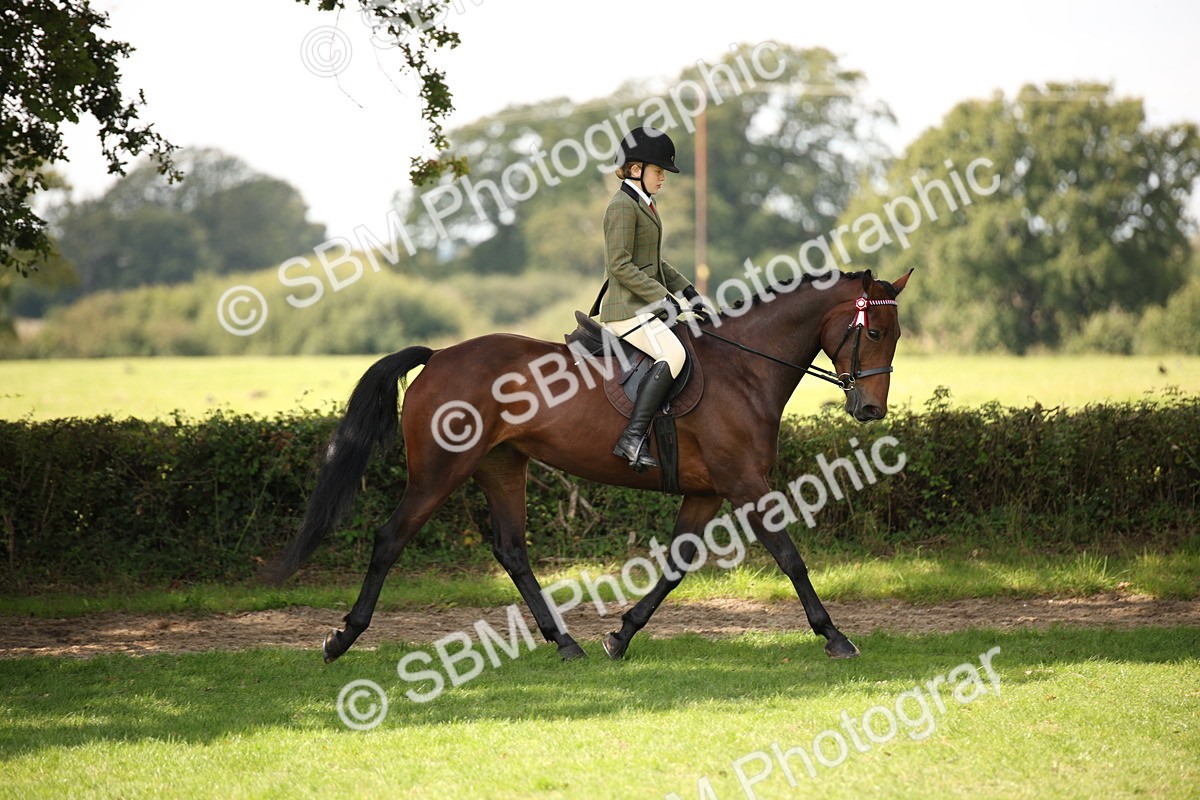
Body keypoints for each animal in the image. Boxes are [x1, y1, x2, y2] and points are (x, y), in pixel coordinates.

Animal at [262, 268, 912, 663]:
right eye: (876, 331)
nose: (871, 409)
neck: (744, 368)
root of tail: (440, 356)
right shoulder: (745, 484)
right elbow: (790, 556)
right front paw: (835, 636)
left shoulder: (707, 492)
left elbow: (675, 566)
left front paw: (620, 636)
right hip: (439, 473)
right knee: (390, 539)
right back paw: (342, 639)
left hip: (502, 466)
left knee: (512, 550)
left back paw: (566, 643)